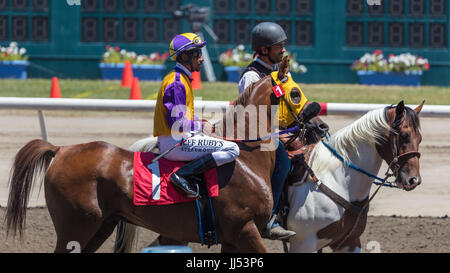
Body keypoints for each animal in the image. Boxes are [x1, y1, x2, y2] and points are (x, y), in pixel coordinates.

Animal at [4, 56, 326, 252]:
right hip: (77, 226)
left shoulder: (232, 239)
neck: (247, 160)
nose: (321, 126)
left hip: (100, 226)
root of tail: (62, 149)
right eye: (295, 93)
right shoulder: (244, 230)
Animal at [286, 100, 424, 251]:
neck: (337, 180)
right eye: (404, 135)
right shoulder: (304, 243)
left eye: (420, 138)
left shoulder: (350, 241)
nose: (414, 180)